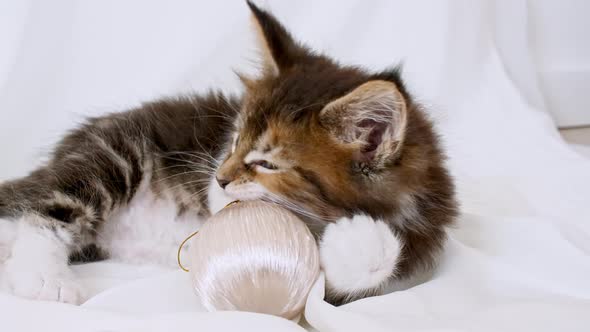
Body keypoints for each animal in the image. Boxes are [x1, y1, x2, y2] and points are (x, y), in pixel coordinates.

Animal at [0, 0, 458, 306]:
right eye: (235, 139)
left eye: (267, 163)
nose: (220, 178)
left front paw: (358, 240)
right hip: (113, 155)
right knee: (44, 210)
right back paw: (44, 276)